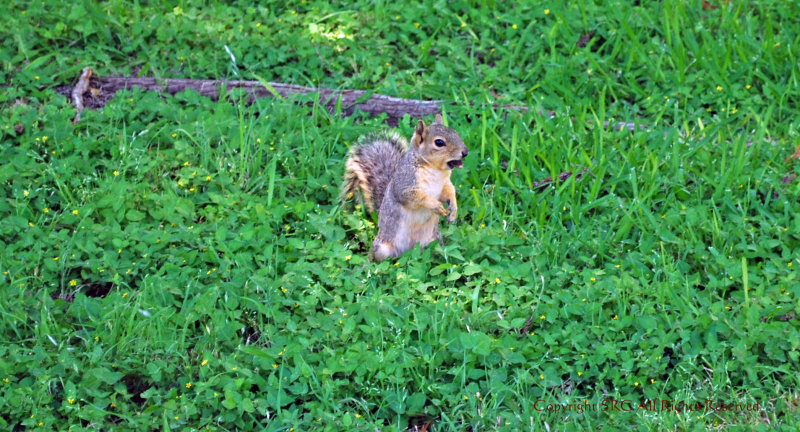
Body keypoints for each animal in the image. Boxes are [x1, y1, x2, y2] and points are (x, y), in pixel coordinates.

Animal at [340, 115, 468, 262]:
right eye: (439, 142)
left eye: (455, 132)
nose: (465, 152)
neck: (435, 170)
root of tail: (408, 251)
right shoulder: (405, 183)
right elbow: (415, 196)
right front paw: (436, 206)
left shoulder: (445, 184)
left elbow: (449, 193)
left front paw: (453, 210)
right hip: (383, 248)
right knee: (377, 257)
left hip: (434, 241)